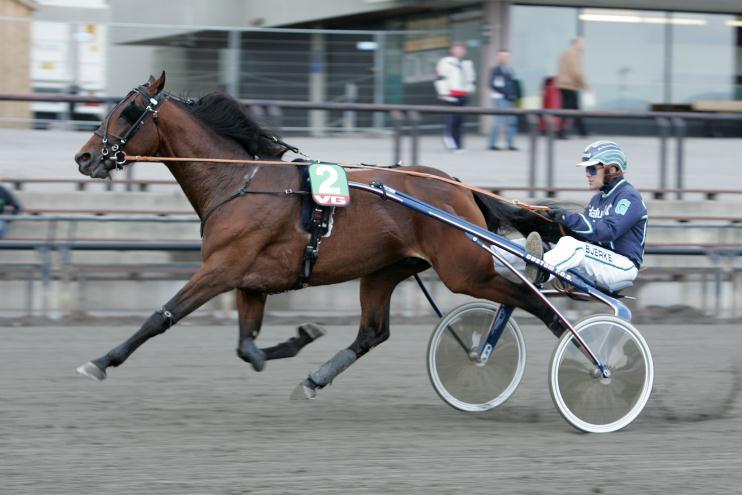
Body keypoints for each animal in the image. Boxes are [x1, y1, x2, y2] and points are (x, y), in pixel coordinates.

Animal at [72, 72, 568, 400]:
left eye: (129, 110)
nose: (84, 156)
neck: (239, 182)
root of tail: (462, 189)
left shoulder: (221, 268)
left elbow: (162, 317)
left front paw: (100, 362)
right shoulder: (251, 280)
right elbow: (246, 345)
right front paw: (300, 337)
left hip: (464, 270)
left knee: (529, 301)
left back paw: (571, 343)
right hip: (384, 270)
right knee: (372, 333)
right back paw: (316, 378)